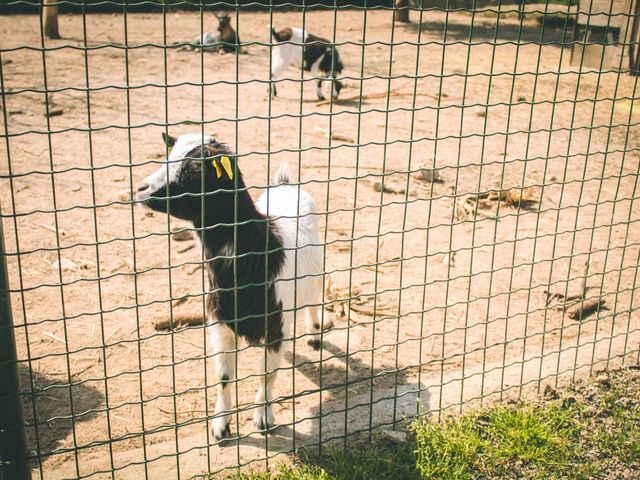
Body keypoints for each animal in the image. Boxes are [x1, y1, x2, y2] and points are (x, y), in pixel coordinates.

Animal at [137, 133, 328, 440]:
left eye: (195, 168)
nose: (141, 189)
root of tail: (285, 185)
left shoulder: (275, 325)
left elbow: (267, 375)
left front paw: (263, 419)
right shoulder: (220, 324)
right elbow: (224, 376)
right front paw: (220, 426)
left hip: (317, 272)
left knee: (315, 298)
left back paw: (315, 335)